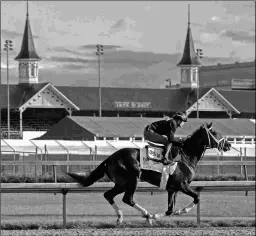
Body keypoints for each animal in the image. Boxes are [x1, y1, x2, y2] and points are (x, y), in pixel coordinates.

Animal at [67, 121, 232, 225]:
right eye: (215, 132)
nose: (229, 145)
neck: (186, 156)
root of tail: (110, 157)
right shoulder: (182, 185)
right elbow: (197, 197)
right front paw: (180, 211)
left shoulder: (172, 188)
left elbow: (170, 210)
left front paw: (160, 215)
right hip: (133, 178)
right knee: (128, 199)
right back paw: (147, 215)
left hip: (121, 183)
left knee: (108, 195)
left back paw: (121, 217)